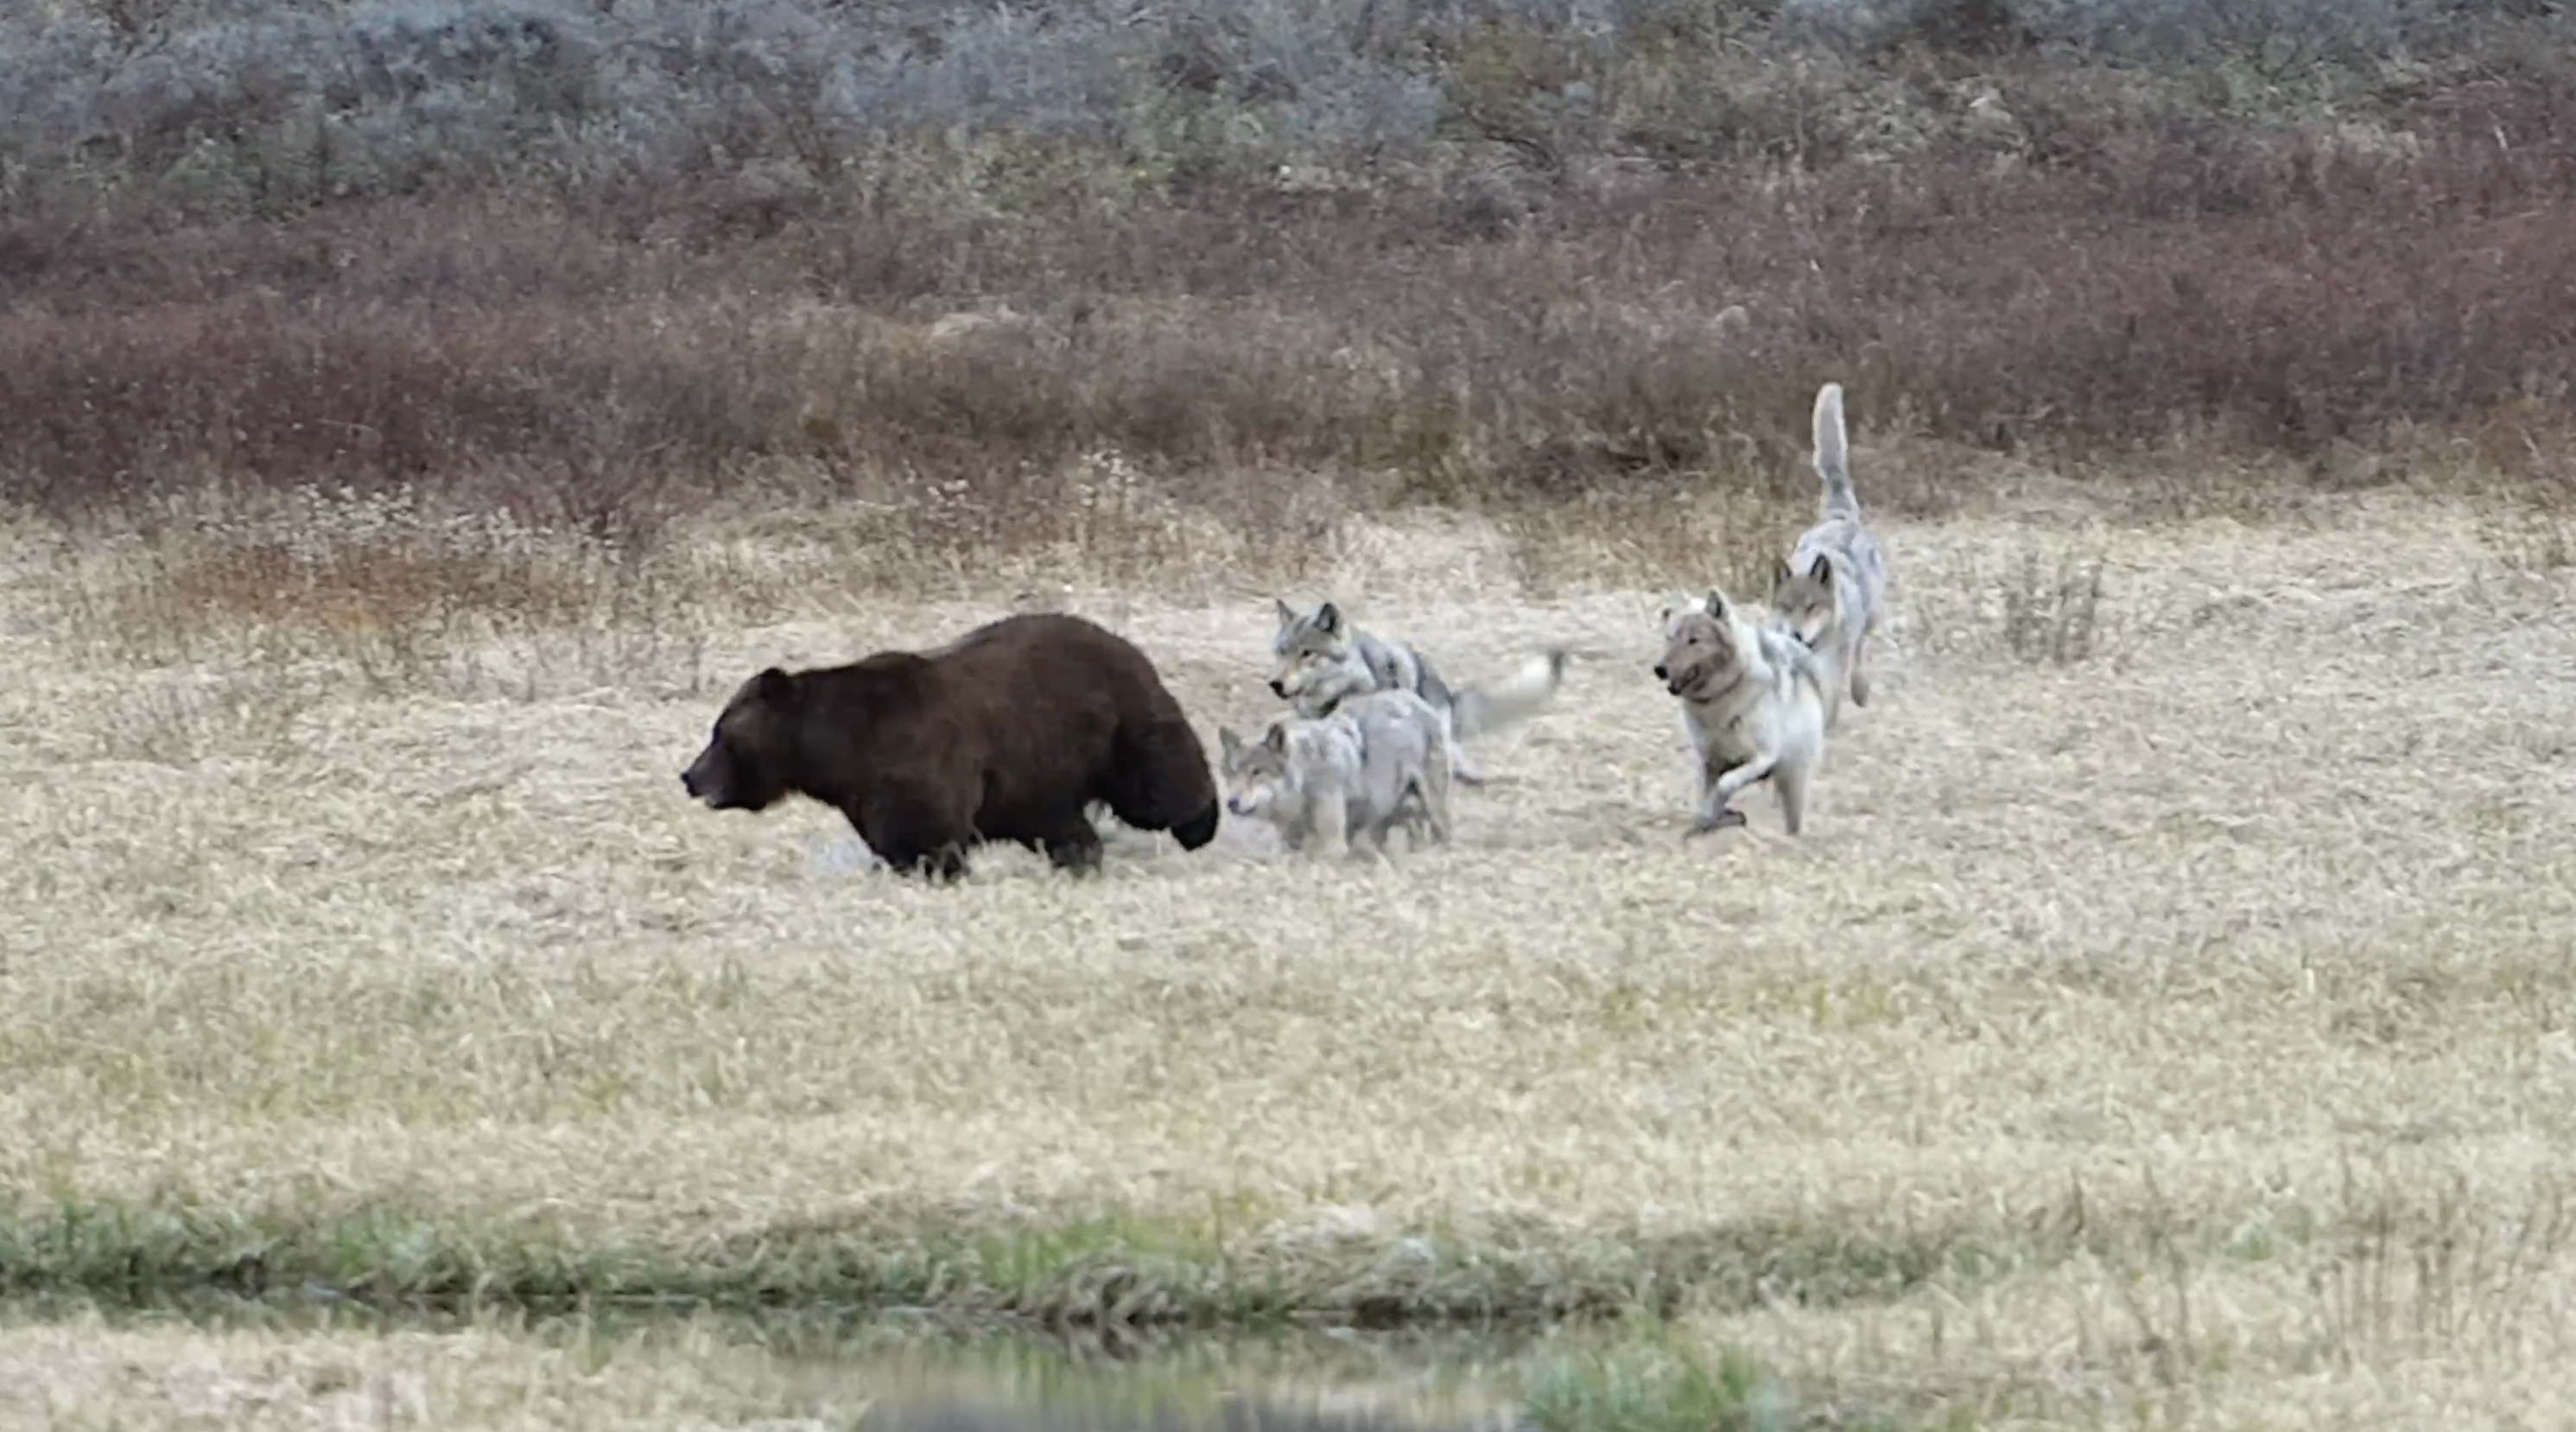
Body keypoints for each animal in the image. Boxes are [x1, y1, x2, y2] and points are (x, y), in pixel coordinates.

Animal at [679, 612, 1223, 881]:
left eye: (719, 733)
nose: (689, 776)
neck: (833, 750)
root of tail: (1120, 640)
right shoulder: (868, 789)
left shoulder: (913, 759)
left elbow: (924, 832)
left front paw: (934, 870)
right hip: (1037, 765)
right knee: (1061, 822)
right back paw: (1081, 858)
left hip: (1117, 723)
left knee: (1157, 785)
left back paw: (1201, 823)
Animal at [1217, 688, 1454, 857]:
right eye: (1232, 773)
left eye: (1257, 772)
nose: (1232, 802)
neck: (1306, 778)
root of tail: (1415, 698)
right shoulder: (1288, 843)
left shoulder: (1333, 845)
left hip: (1431, 808)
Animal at [1655, 588, 1829, 837]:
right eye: (1670, 638)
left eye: (1693, 640)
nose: (1659, 669)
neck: (1722, 698)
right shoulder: (1709, 763)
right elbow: (1706, 801)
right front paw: (1710, 821)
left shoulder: (1763, 757)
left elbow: (1725, 785)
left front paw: (1720, 813)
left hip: (1793, 779)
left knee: (1794, 821)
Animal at [1769, 381, 1892, 725]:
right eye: (1786, 607)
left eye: (1812, 607)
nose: (1796, 635)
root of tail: (1838, 516)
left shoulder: (1831, 674)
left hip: (1870, 618)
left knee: (1861, 653)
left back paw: (1861, 691)